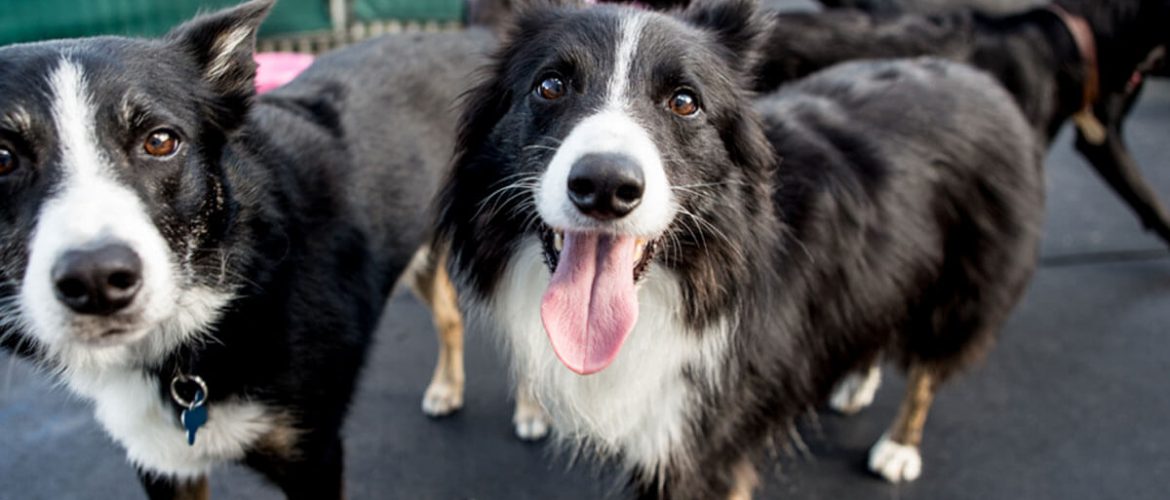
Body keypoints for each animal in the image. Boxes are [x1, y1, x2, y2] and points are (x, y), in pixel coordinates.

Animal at [0, 0, 489, 496]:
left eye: (159, 140)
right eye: (1, 158)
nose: (97, 280)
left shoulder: (313, 455)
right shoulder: (162, 463)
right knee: (450, 316)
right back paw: (447, 388)